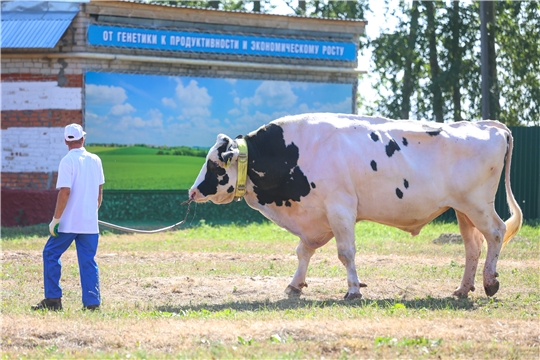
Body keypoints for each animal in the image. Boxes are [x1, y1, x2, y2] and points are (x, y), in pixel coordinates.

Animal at [189, 112, 524, 298]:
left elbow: (345, 252)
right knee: (472, 247)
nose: (192, 191)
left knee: (496, 232)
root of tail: (487, 125)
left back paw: (490, 282)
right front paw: (295, 285)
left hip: (478, 205)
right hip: (463, 210)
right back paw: (463, 288)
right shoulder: (316, 217)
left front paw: (353, 289)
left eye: (214, 164)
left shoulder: (340, 208)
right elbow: (303, 251)